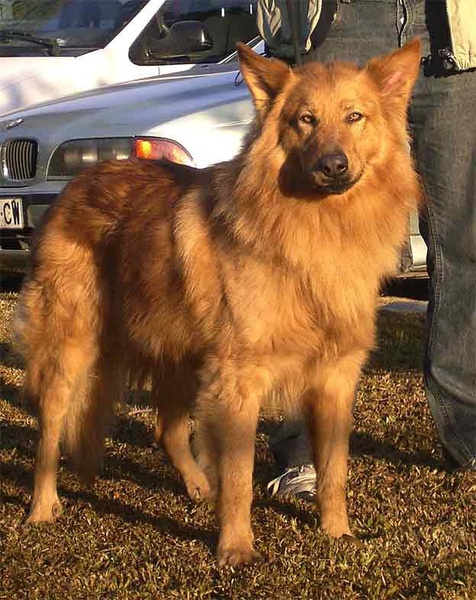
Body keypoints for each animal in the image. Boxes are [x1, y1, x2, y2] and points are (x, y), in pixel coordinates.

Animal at [13, 39, 420, 564]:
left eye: (355, 117)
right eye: (305, 120)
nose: (333, 166)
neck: (315, 230)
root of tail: (78, 182)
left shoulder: (334, 377)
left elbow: (334, 472)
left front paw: (337, 534)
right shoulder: (237, 380)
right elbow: (240, 477)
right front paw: (236, 548)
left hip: (181, 357)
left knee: (166, 430)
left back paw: (197, 486)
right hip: (70, 352)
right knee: (48, 435)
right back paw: (43, 508)